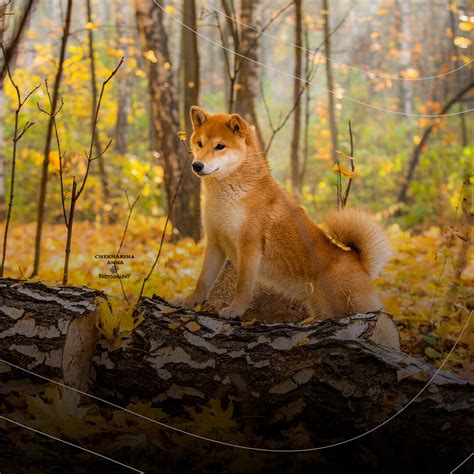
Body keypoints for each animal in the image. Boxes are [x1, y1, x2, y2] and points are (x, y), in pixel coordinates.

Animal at [172, 106, 390, 322]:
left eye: (219, 146)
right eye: (200, 143)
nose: (197, 165)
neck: (231, 195)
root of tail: (359, 262)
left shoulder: (249, 245)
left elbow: (242, 285)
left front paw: (235, 310)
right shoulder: (215, 241)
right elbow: (203, 280)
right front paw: (188, 301)